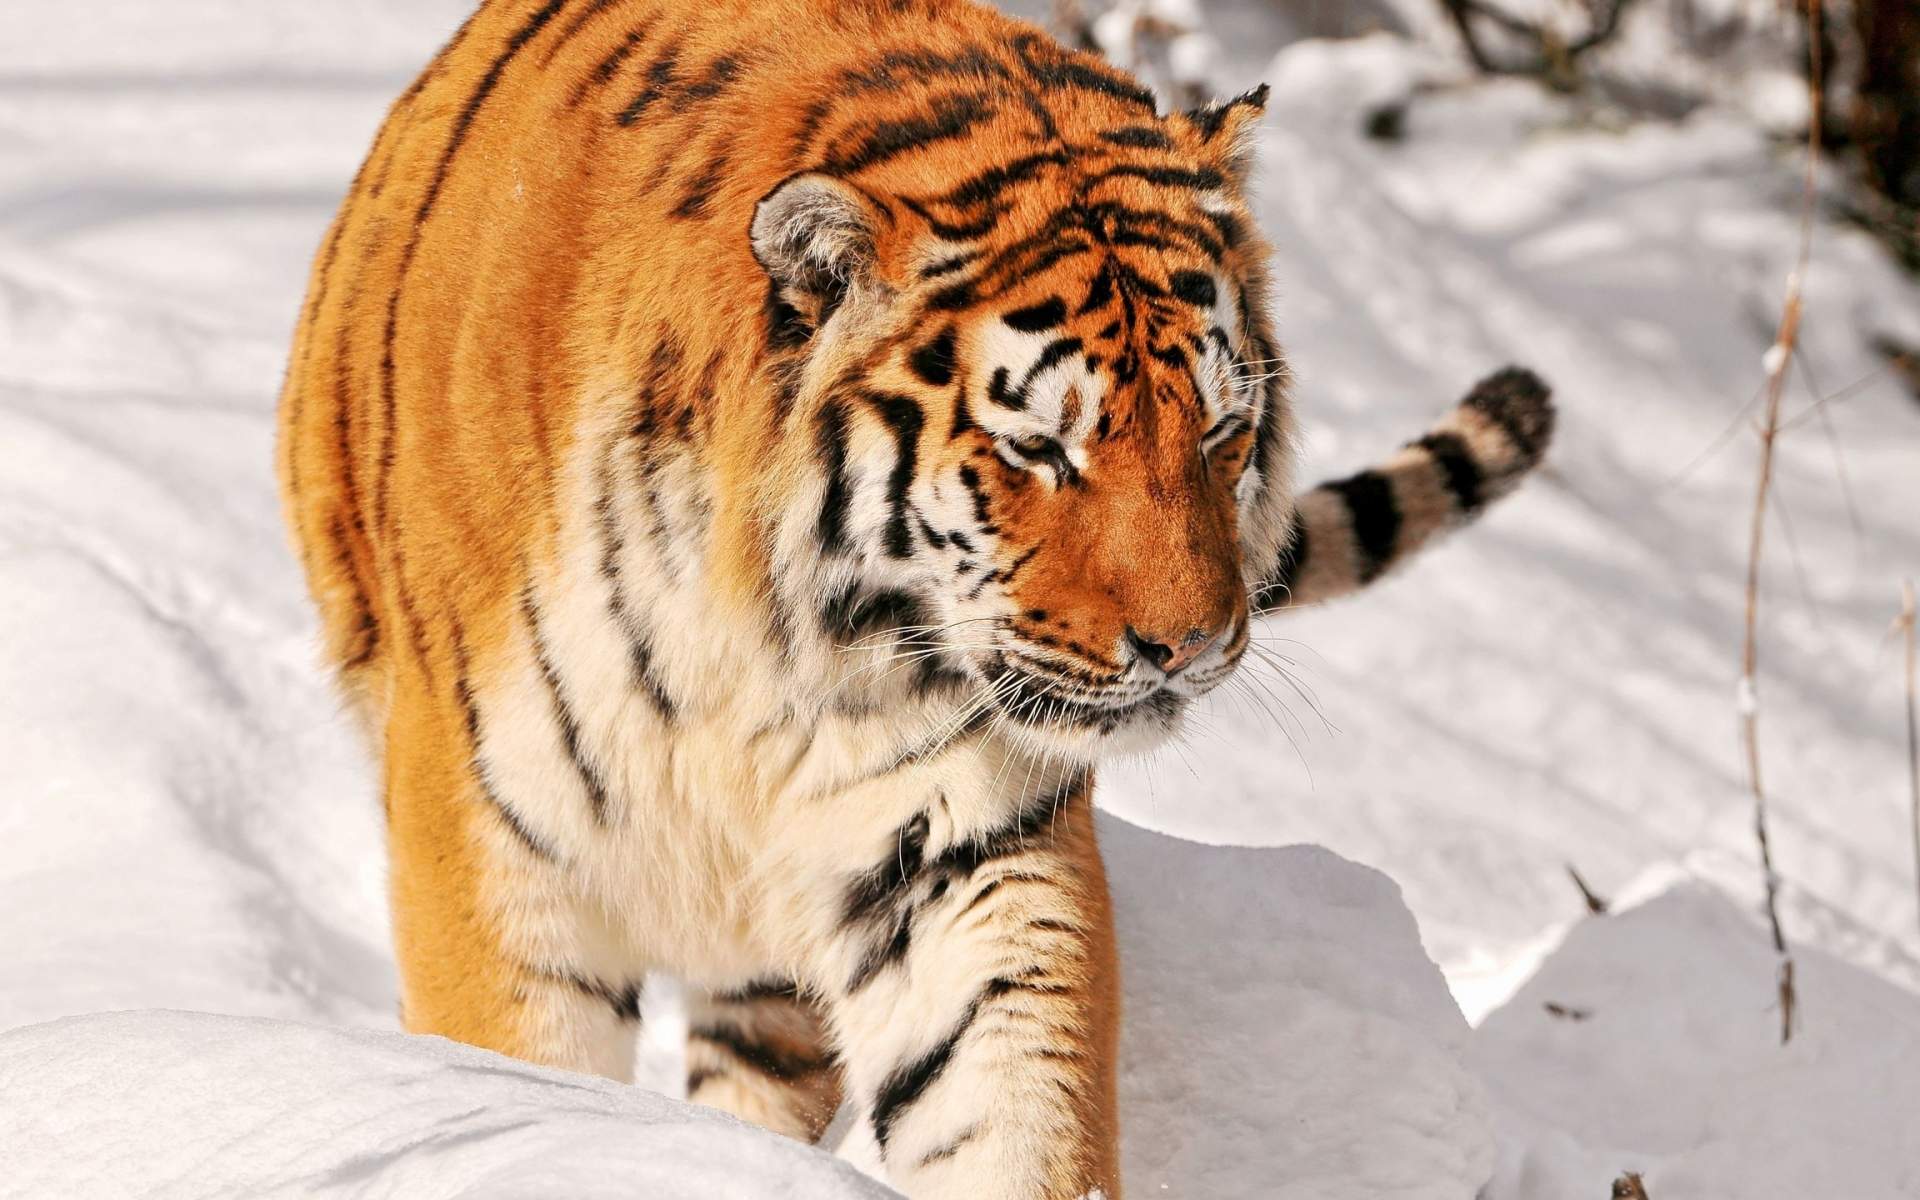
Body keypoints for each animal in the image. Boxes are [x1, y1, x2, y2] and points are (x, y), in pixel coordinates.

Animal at [275, 1, 1554, 1195]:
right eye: (1040, 448)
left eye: (1222, 433)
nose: (1192, 648)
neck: (759, 644)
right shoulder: (494, 850)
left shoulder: (956, 847)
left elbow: (1009, 1100)